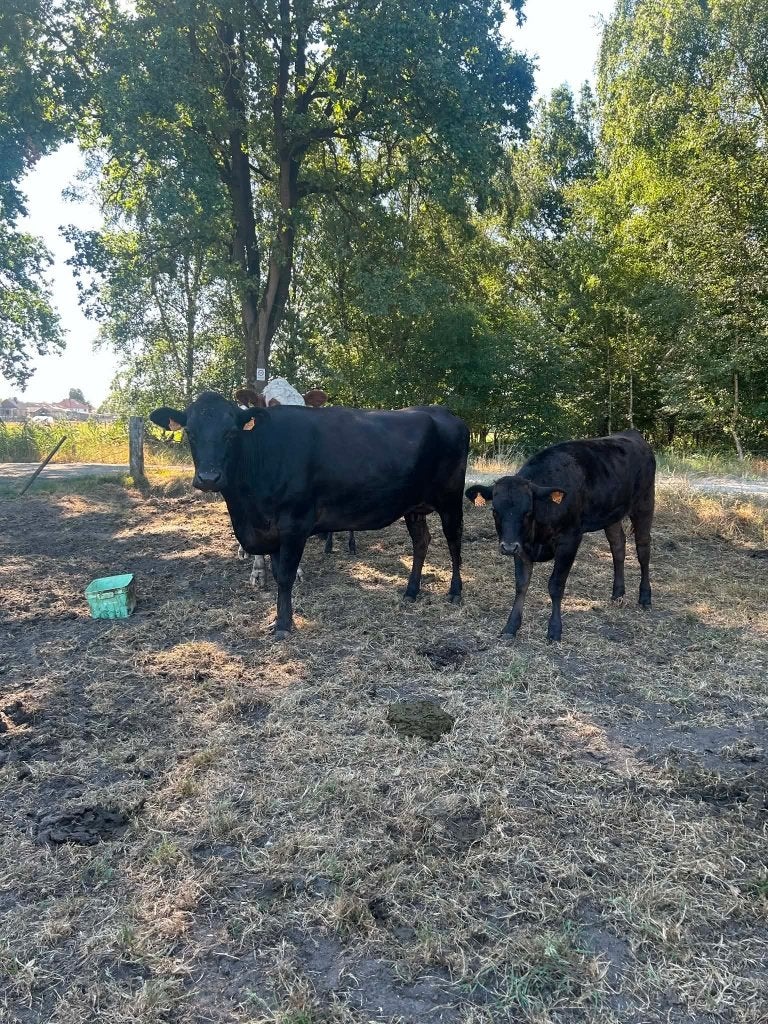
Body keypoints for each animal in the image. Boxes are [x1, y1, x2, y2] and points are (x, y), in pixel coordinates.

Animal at [465, 429, 655, 641]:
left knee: (643, 549)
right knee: (618, 547)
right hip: (612, 513)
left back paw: (645, 596)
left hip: (644, 503)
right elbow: (521, 584)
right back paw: (618, 594)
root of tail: (633, 433)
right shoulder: (522, 547)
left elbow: (555, 585)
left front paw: (555, 629)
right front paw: (511, 626)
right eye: (495, 511)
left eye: (528, 512)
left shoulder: (569, 540)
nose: (507, 547)